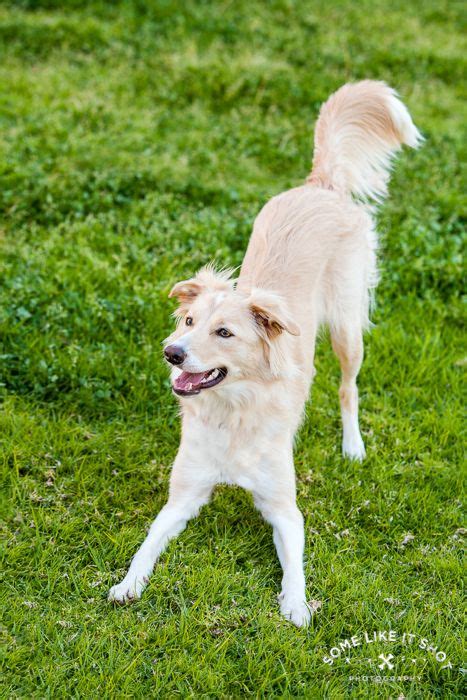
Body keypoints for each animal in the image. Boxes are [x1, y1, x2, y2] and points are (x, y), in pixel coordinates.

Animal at [108, 79, 422, 628]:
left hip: (347, 330)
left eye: (225, 333)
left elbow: (294, 565)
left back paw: (353, 446)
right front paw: (129, 584)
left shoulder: (285, 510)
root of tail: (320, 185)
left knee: (348, 388)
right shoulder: (181, 499)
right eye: (188, 323)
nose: (171, 353)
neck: (234, 411)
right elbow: (147, 544)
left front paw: (296, 606)